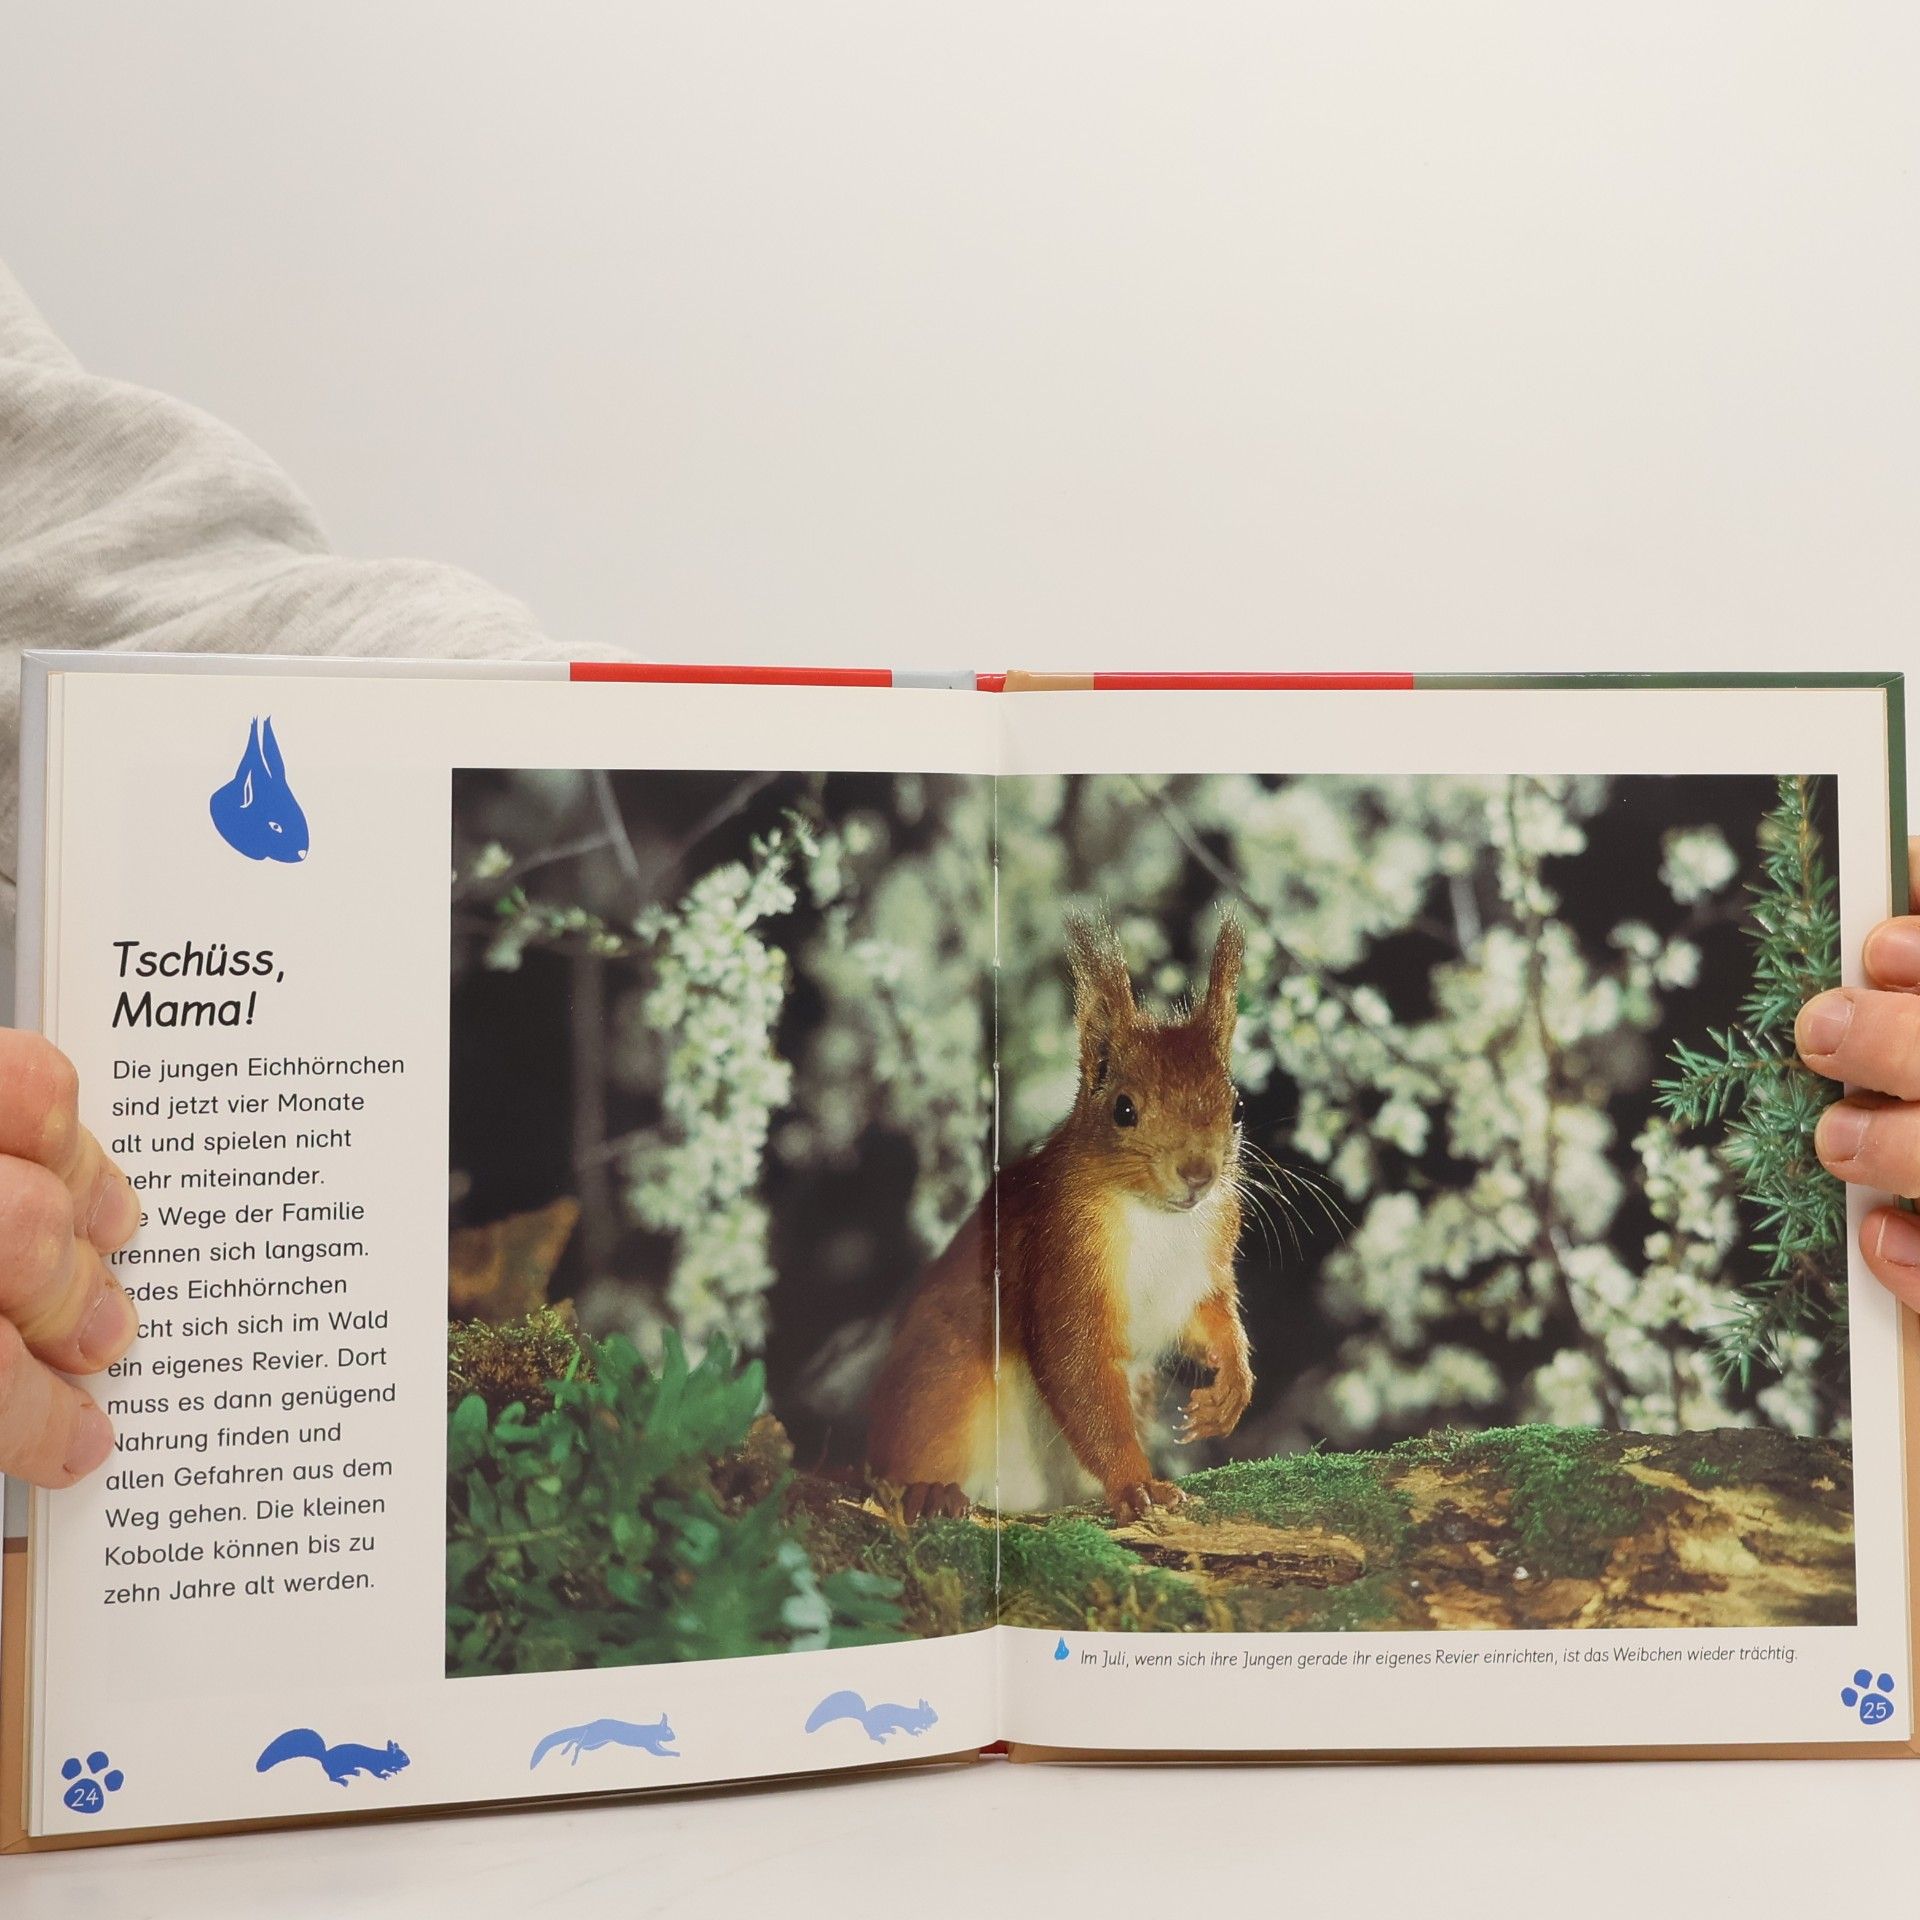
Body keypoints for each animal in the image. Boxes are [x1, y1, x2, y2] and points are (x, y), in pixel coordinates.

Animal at [255, 1728, 411, 1786]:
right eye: (403, 1757)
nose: (409, 1762)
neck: (384, 1756)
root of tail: (324, 1757)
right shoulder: (374, 1765)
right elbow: (377, 1773)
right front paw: (385, 1775)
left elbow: (389, 1768)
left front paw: (395, 1770)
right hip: (336, 1768)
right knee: (332, 1777)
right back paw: (344, 1780)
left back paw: (354, 1772)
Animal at [529, 1715, 679, 1768]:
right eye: (668, 1731)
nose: (675, 1737)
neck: (654, 1731)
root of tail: (592, 1724)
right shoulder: (650, 1744)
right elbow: (661, 1752)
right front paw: (676, 1753)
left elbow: (662, 1750)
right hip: (595, 1738)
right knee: (578, 1744)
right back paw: (572, 1760)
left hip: (595, 1743)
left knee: (576, 1740)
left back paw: (564, 1751)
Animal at [804, 1690, 939, 1743]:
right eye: (931, 1713)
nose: (937, 1719)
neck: (917, 1714)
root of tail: (865, 1717)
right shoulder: (908, 1723)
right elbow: (910, 1729)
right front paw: (917, 1732)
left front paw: (925, 1727)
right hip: (875, 1728)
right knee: (872, 1736)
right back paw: (881, 1738)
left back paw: (891, 1730)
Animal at [867, 912, 1252, 1523]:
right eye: (1124, 1109)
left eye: (1236, 1106)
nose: (1198, 1174)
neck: (1159, 1218)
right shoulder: (1062, 1251)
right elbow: (1076, 1369)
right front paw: (1137, 1484)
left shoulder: (1204, 1261)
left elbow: (1210, 1318)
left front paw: (1232, 1385)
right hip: (937, 1392)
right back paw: (927, 1491)